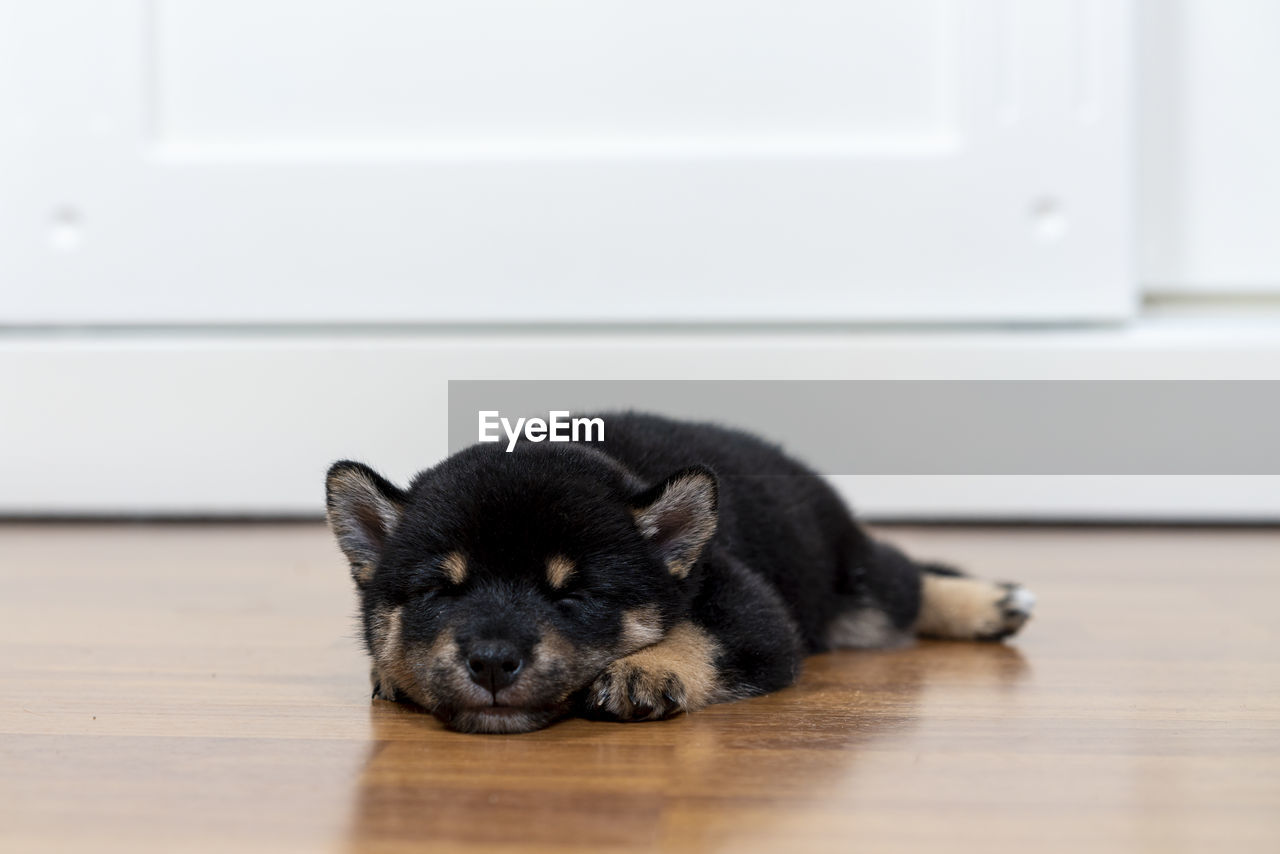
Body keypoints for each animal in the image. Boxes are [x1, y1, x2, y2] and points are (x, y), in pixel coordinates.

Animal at [325, 409, 1034, 732]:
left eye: (574, 596)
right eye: (438, 592)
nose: (493, 663)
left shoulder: (754, 611)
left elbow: (701, 635)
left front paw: (648, 667)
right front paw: (394, 670)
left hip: (856, 589)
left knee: (905, 579)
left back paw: (989, 603)